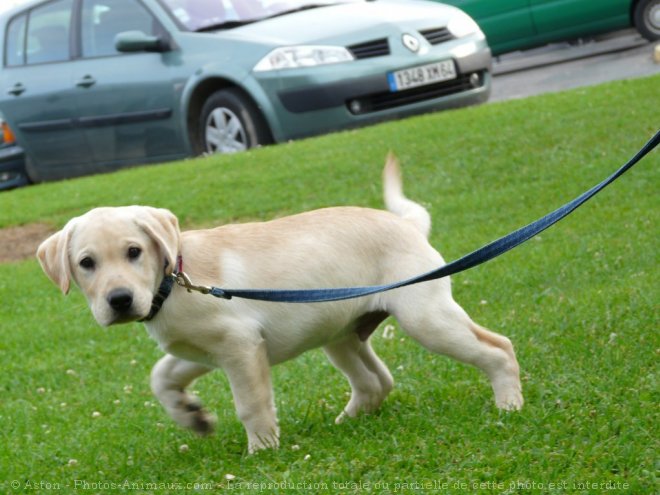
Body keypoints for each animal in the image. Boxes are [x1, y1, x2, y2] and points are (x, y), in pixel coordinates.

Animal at [37, 157, 520, 456]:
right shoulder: (198, 351)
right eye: (86, 263)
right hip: (341, 333)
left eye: (134, 251)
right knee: (376, 382)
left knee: (498, 348)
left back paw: (509, 406)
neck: (173, 283)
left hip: (425, 317)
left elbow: (251, 404)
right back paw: (345, 423)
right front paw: (193, 416)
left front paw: (262, 451)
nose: (119, 301)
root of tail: (408, 225)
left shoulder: (240, 346)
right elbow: (160, 377)